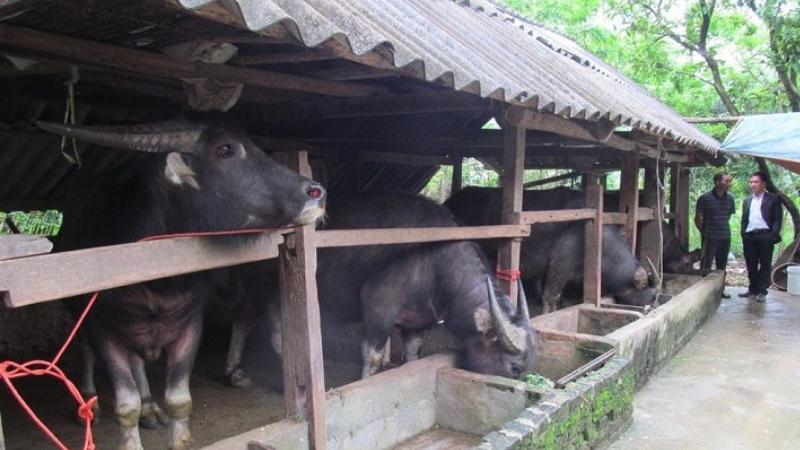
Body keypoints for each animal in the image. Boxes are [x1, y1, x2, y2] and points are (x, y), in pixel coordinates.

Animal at [40, 114, 324, 450]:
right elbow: (126, 406)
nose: (316, 192)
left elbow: (179, 401)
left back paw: (151, 408)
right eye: (226, 149)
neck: (158, 283)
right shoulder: (103, 330)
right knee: (86, 352)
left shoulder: (189, 326)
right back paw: (90, 401)